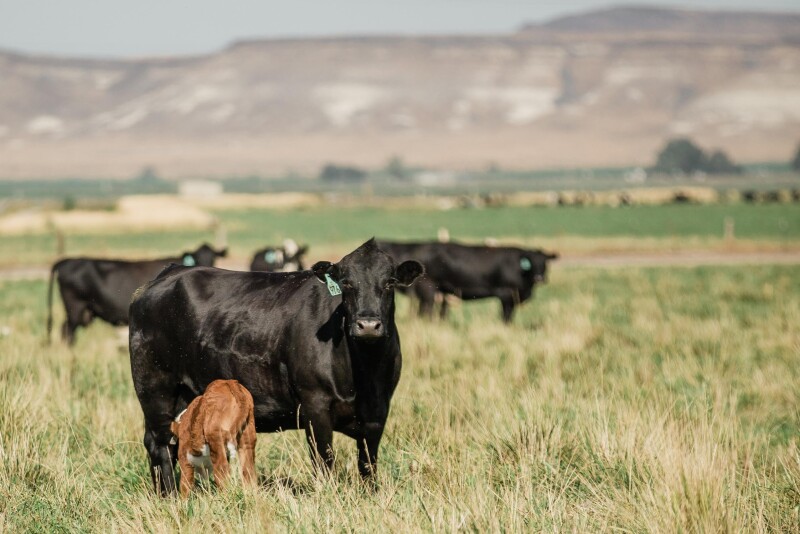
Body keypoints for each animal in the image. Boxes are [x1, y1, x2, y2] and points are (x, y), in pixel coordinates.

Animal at [47, 243, 227, 345]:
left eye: (213, 258)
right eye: (197, 258)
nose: (206, 268)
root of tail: (66, 261)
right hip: (75, 307)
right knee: (68, 332)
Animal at [129, 238, 423, 496]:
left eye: (390, 282)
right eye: (347, 283)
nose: (368, 325)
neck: (362, 373)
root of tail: (170, 273)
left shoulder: (378, 410)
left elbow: (368, 464)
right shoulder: (315, 406)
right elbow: (324, 461)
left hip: (186, 395)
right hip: (155, 388)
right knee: (159, 444)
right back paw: (167, 496)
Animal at [377, 241, 557, 323]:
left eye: (544, 263)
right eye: (531, 262)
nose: (540, 278)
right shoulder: (506, 295)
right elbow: (506, 316)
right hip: (428, 290)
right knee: (426, 309)